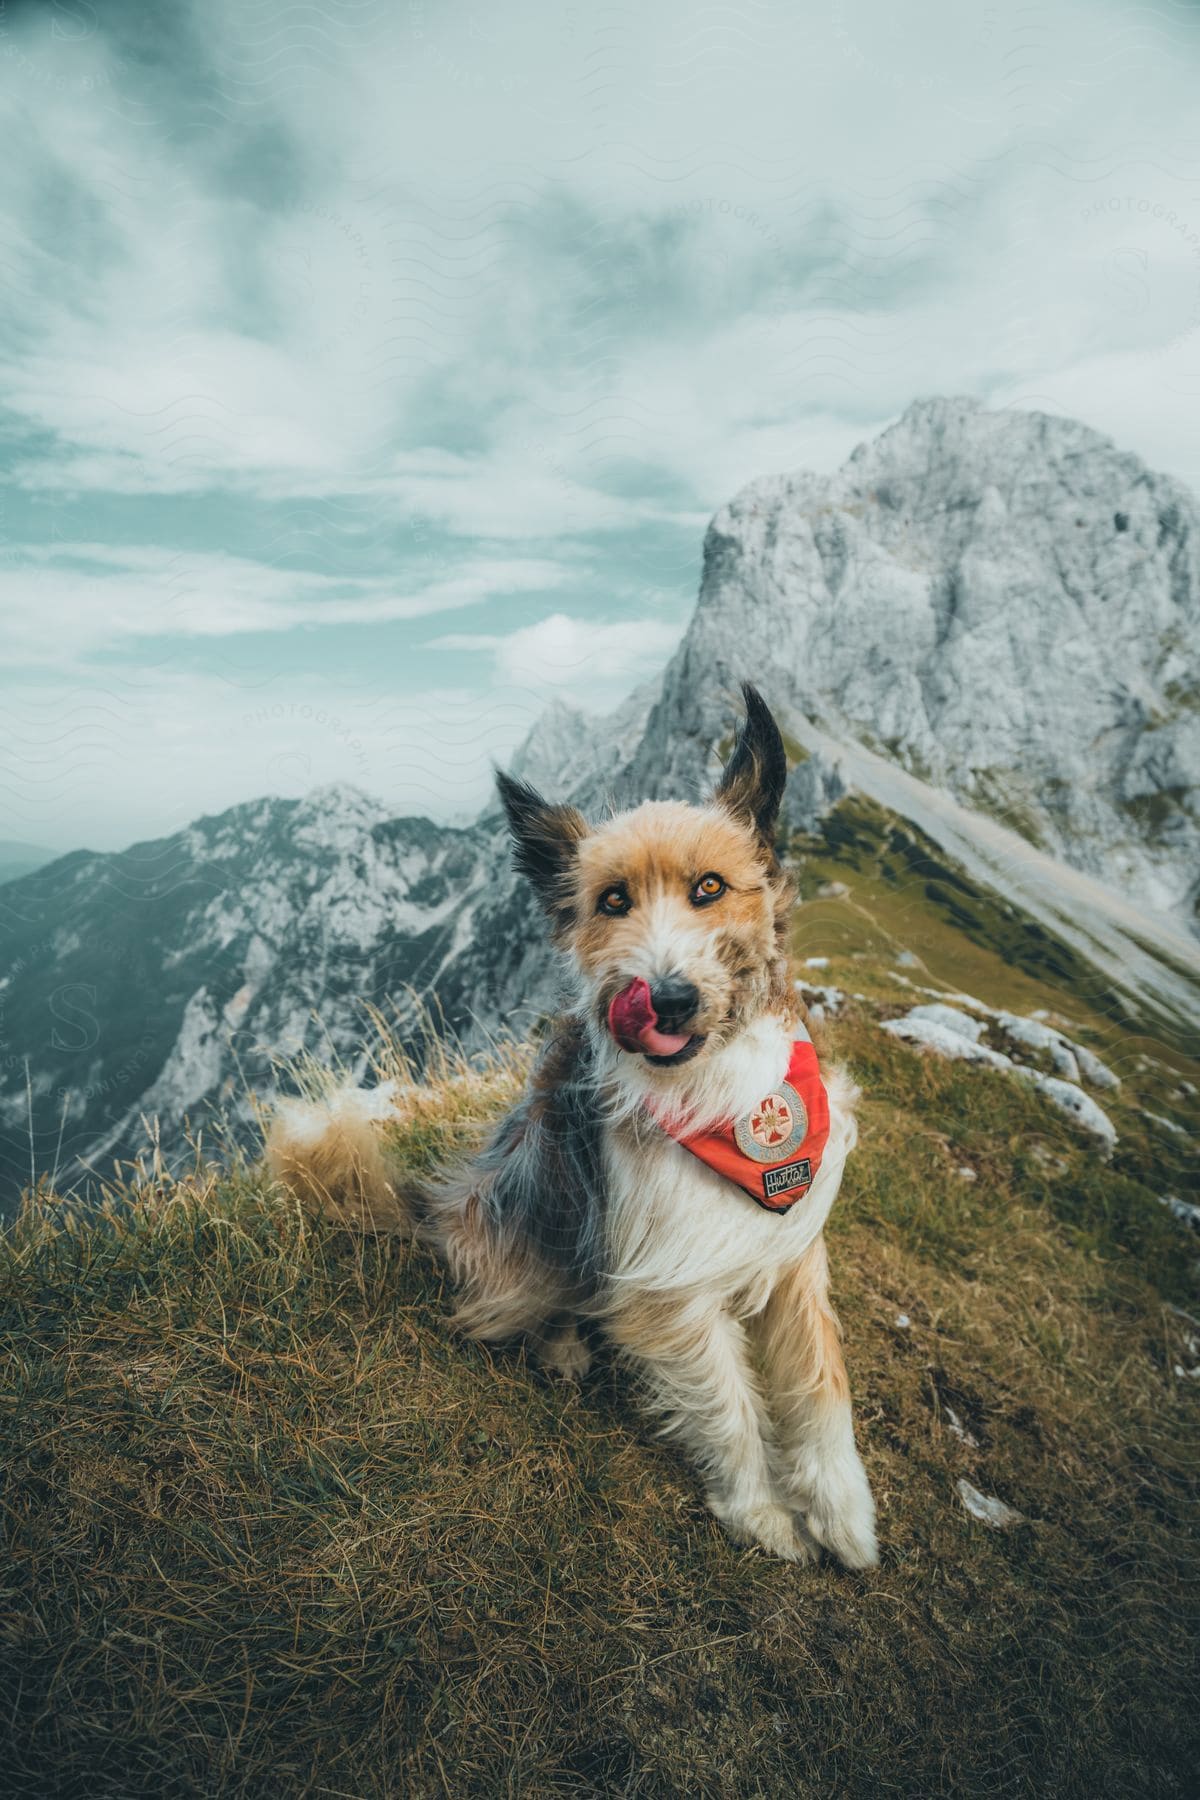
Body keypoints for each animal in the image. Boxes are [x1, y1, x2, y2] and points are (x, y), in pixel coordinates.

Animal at [268, 680, 877, 1569]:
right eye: (613, 901)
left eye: (709, 888)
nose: (667, 1000)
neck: (717, 1092)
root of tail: (441, 1209)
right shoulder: (666, 1291)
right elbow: (728, 1409)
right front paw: (762, 1513)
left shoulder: (790, 1249)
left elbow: (820, 1380)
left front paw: (842, 1511)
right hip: (525, 1238)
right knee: (504, 1312)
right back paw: (557, 1345)